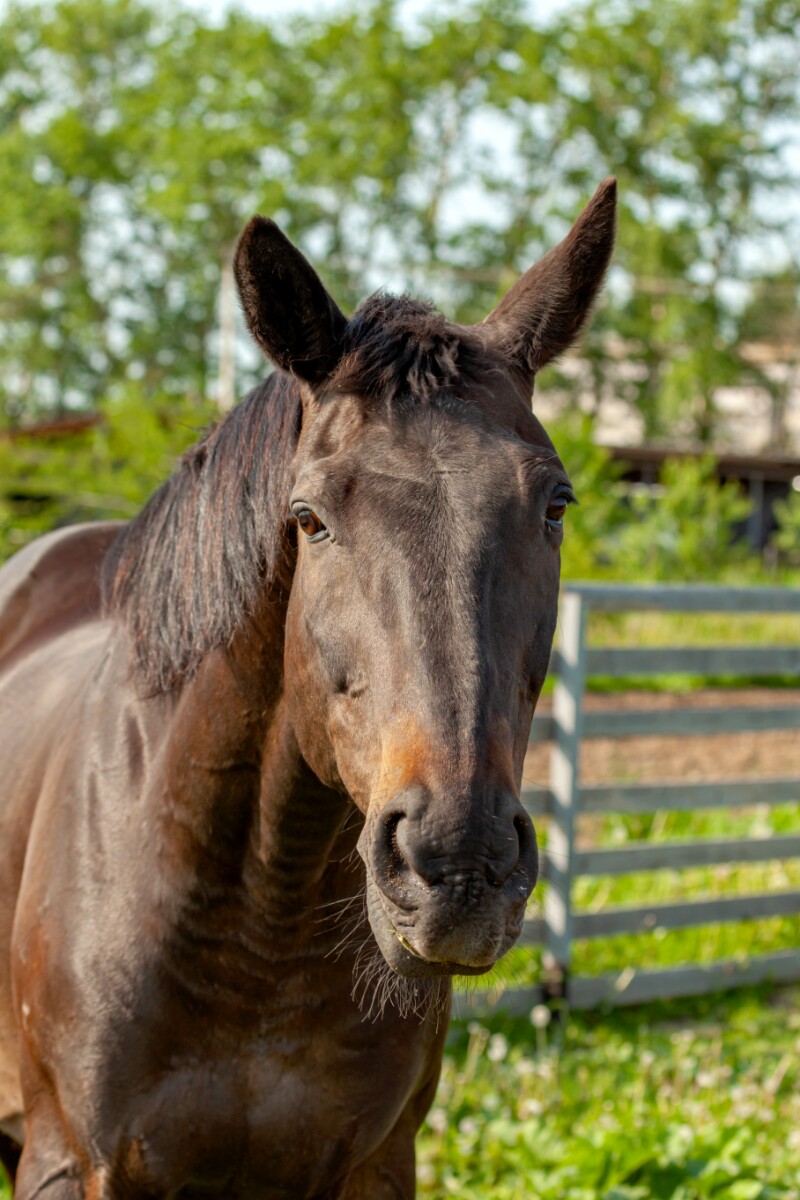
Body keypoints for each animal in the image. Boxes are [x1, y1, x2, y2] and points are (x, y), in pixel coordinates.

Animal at [0, 180, 618, 1200]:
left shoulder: (376, 1161)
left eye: (555, 505)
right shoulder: (70, 1163)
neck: (259, 926)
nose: (460, 865)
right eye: (310, 517)